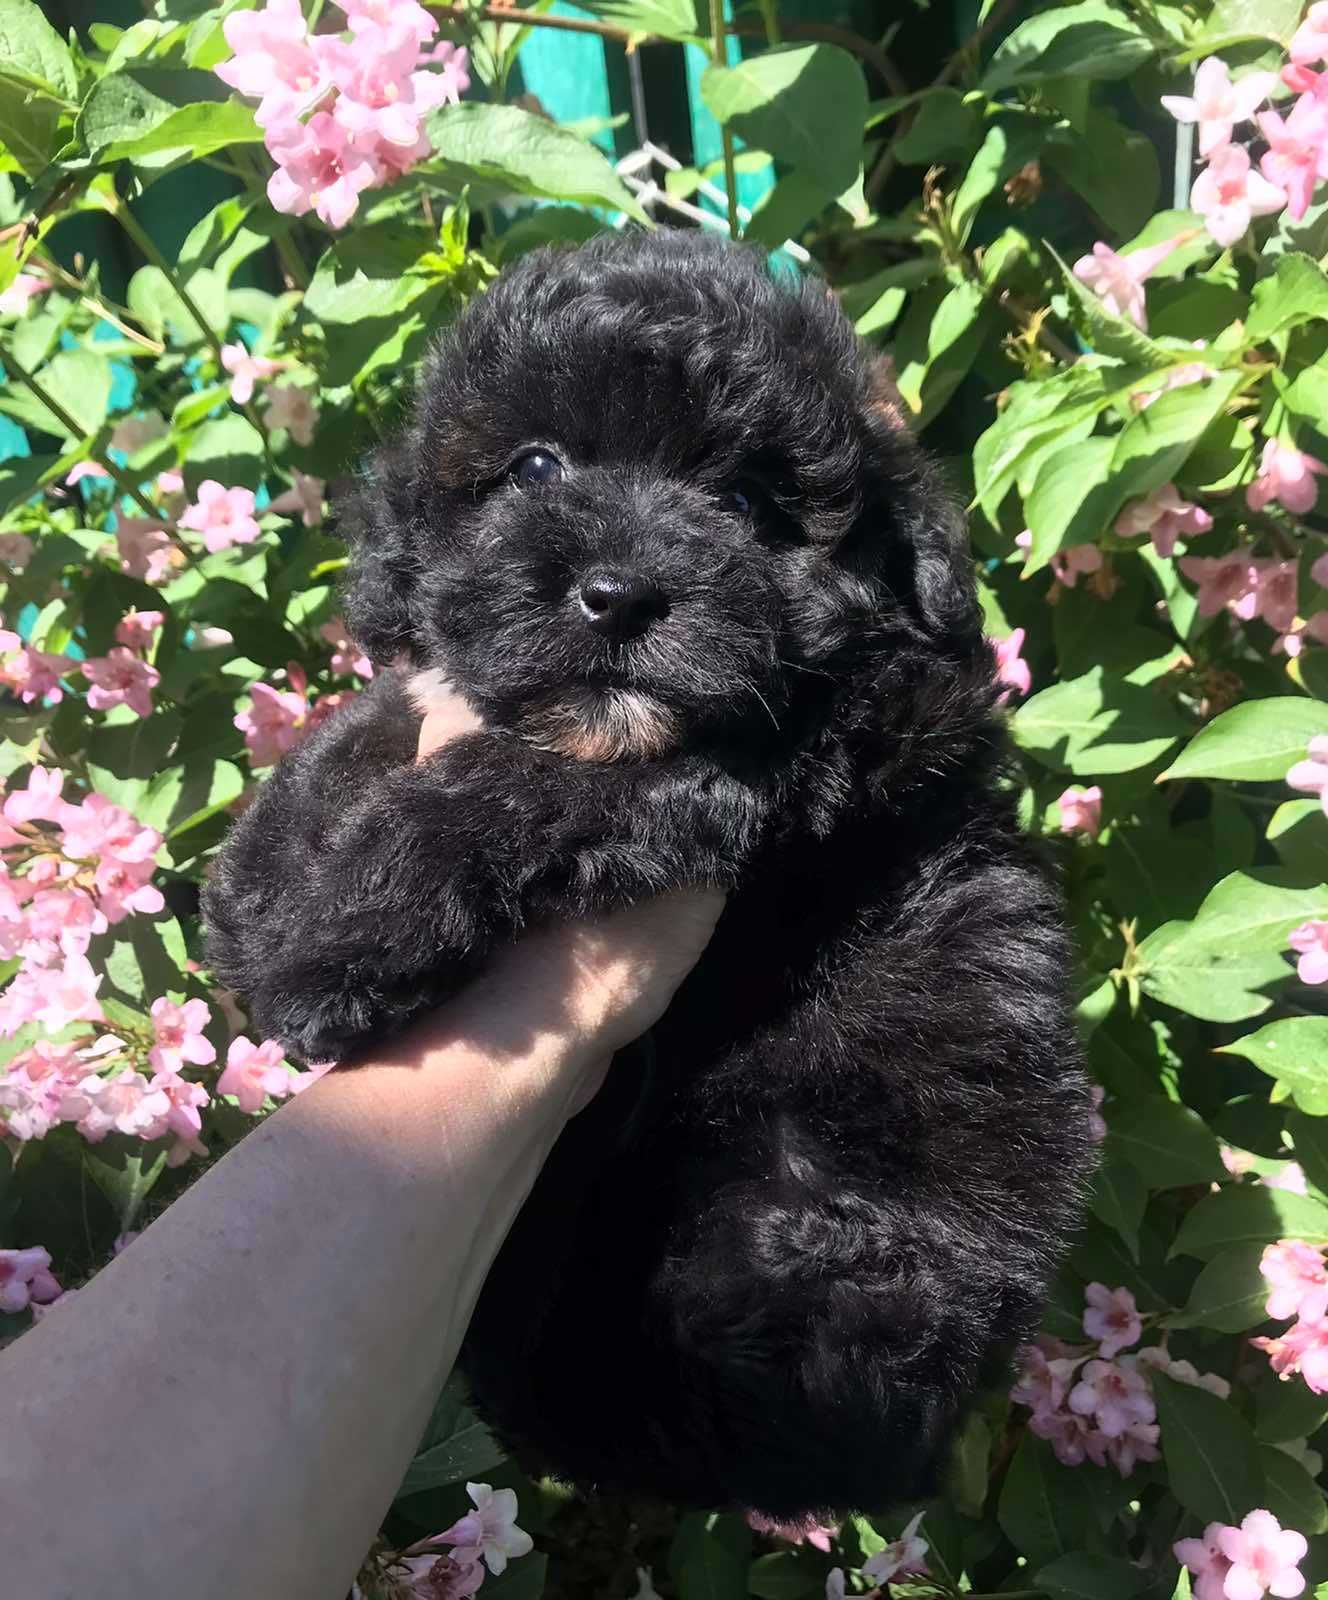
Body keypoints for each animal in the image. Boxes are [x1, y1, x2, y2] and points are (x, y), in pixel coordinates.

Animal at [204, 232, 1094, 1516]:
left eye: (745, 503)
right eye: (533, 466)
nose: (618, 594)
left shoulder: (786, 759)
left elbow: (517, 781)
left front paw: (340, 937)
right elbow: (369, 728)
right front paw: (264, 892)